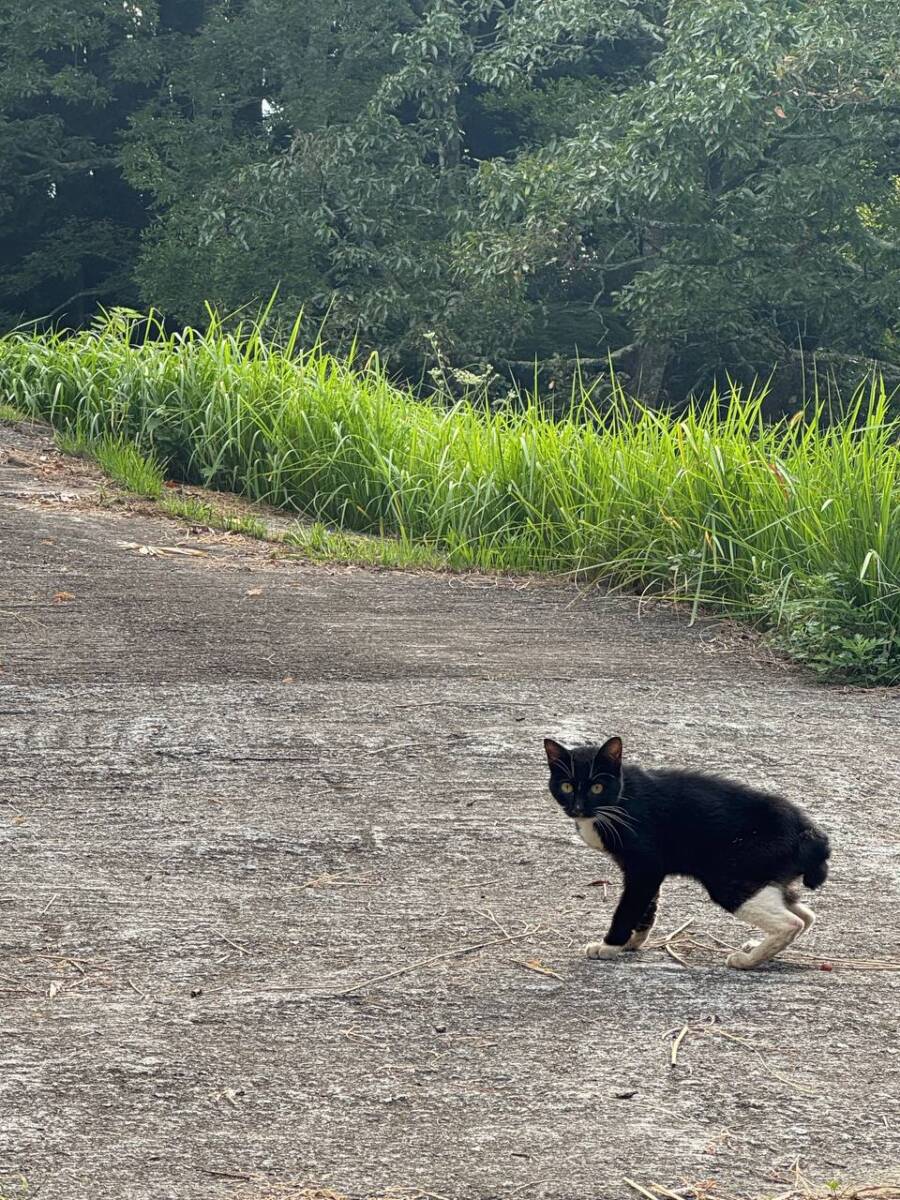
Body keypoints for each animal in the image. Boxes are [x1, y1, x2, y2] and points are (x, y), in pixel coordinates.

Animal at [542, 734, 830, 969]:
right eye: (566, 786)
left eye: (597, 787)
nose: (578, 808)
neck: (617, 803)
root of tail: (810, 832)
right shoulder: (646, 871)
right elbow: (647, 906)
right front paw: (632, 942)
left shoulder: (645, 866)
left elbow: (629, 907)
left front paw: (610, 946)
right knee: (806, 915)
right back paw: (758, 948)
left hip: (729, 875)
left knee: (791, 922)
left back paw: (745, 960)